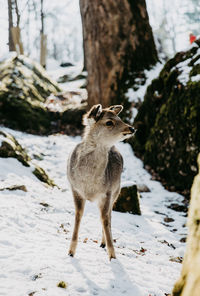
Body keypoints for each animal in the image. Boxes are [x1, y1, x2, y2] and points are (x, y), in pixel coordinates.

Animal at [67, 103, 134, 260]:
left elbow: (105, 219)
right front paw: (71, 252)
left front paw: (113, 256)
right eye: (109, 122)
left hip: (117, 191)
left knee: (108, 216)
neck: (89, 186)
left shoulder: (107, 193)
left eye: (120, 118)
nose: (131, 128)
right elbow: (78, 216)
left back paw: (103, 243)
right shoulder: (75, 189)